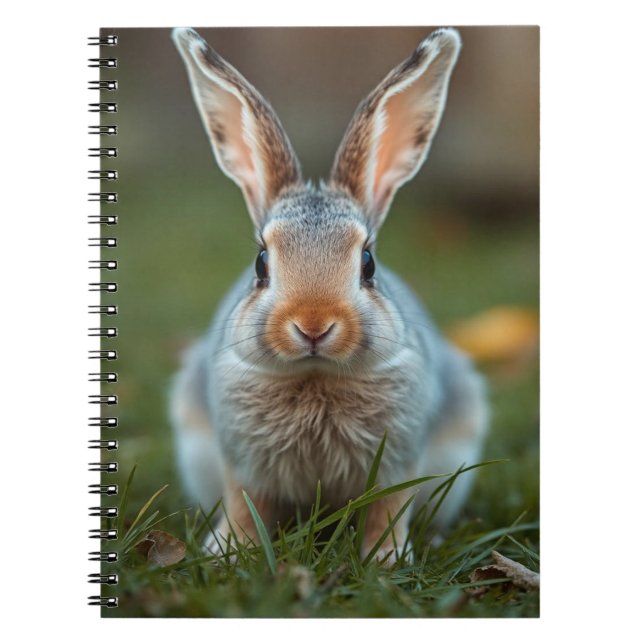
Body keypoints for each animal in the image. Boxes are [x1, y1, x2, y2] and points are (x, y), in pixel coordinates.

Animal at [170, 27, 489, 563]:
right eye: (261, 263)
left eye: (368, 264)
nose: (313, 325)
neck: (315, 374)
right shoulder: (241, 462)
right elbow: (244, 505)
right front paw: (229, 550)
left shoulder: (398, 461)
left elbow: (388, 509)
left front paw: (385, 558)